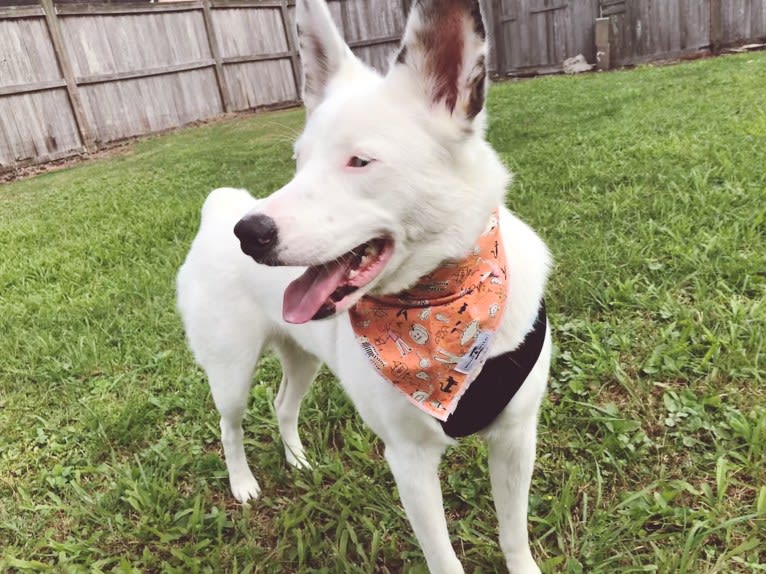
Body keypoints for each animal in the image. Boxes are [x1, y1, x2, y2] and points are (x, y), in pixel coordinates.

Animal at [178, 2, 552, 572]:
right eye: (298, 161)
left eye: (359, 161)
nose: (251, 234)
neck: (448, 304)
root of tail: (221, 209)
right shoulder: (410, 462)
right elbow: (445, 560)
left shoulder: (515, 440)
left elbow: (514, 536)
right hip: (230, 373)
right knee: (231, 426)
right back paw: (242, 483)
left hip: (302, 358)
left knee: (282, 404)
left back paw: (298, 459)